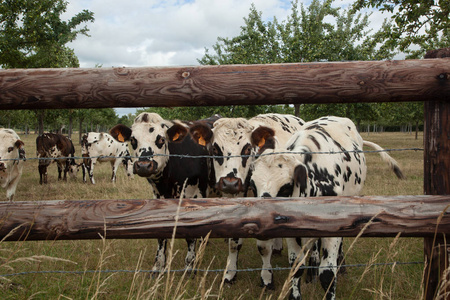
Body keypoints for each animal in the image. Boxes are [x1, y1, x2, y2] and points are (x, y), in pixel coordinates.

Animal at [110, 111, 221, 274]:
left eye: (161, 139)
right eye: (133, 140)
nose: (144, 165)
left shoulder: (194, 196)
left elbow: (191, 235)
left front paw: (189, 266)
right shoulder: (158, 197)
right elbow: (160, 233)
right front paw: (158, 266)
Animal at [190, 113, 306, 288]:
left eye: (247, 148)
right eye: (215, 149)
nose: (230, 182)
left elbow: (264, 247)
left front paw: (266, 277)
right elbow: (234, 243)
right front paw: (230, 273)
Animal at [250, 116, 404, 300]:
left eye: (286, 188)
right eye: (253, 185)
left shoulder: (333, 227)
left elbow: (328, 274)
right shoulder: (291, 231)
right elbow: (296, 268)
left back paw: (340, 266)